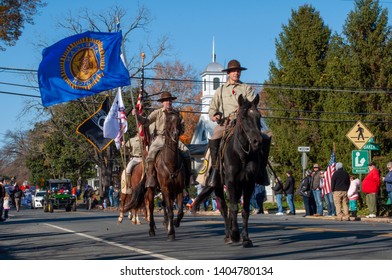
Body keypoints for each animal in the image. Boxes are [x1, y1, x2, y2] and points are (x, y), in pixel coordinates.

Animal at [126, 111, 186, 241]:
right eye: (167, 121)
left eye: (178, 121)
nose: (175, 134)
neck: (170, 163)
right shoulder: (166, 188)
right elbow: (170, 211)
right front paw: (171, 233)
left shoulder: (178, 189)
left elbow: (179, 211)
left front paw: (175, 223)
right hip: (151, 189)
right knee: (151, 207)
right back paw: (151, 229)